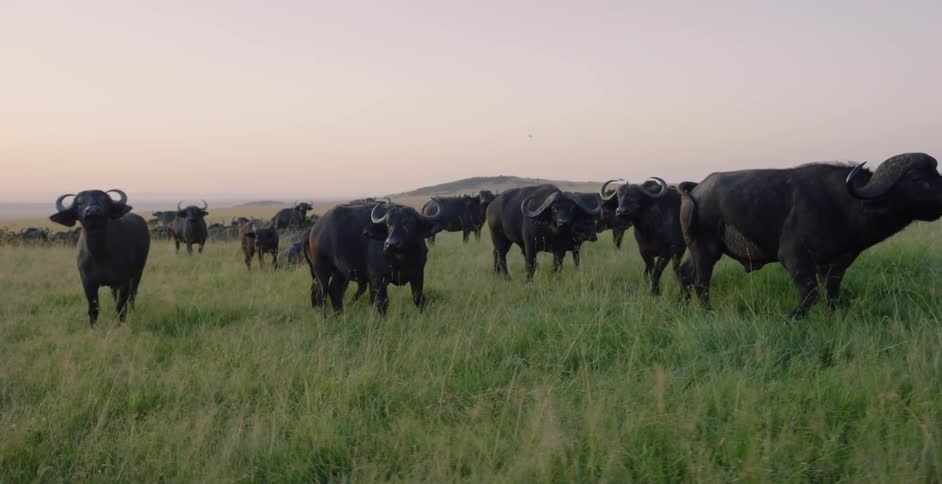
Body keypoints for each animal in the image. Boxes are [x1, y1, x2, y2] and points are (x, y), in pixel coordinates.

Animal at [49, 189, 150, 326]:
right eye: (79, 203)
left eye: (104, 200)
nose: (92, 211)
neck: (99, 254)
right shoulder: (88, 282)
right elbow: (93, 309)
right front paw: (93, 328)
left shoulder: (123, 281)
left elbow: (121, 306)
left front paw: (121, 324)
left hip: (138, 272)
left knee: (132, 295)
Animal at [304, 200, 444, 315]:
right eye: (388, 224)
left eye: (408, 223)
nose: (391, 243)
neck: (400, 259)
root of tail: (315, 229)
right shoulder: (378, 280)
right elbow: (382, 304)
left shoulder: (418, 274)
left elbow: (419, 298)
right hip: (321, 270)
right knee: (320, 293)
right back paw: (323, 317)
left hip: (341, 273)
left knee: (335, 291)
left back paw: (339, 316)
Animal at [680, 153, 942, 318]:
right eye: (917, 178)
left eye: (936, 173)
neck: (845, 204)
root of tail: (695, 189)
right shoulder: (793, 256)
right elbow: (810, 293)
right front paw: (790, 316)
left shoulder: (838, 263)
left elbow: (832, 293)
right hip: (706, 250)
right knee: (701, 283)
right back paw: (708, 313)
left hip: (695, 251)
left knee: (685, 275)